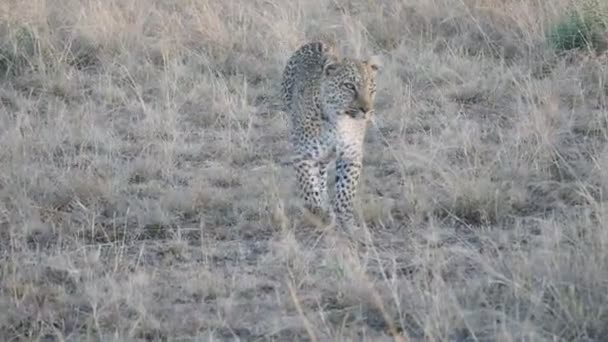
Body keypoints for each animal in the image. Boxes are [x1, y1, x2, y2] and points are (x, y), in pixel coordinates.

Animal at [280, 41, 380, 231]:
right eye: (349, 86)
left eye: (371, 88)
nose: (367, 109)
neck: (338, 121)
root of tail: (318, 42)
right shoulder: (302, 155)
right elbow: (310, 193)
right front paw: (322, 213)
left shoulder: (351, 155)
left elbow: (345, 192)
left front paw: (346, 221)